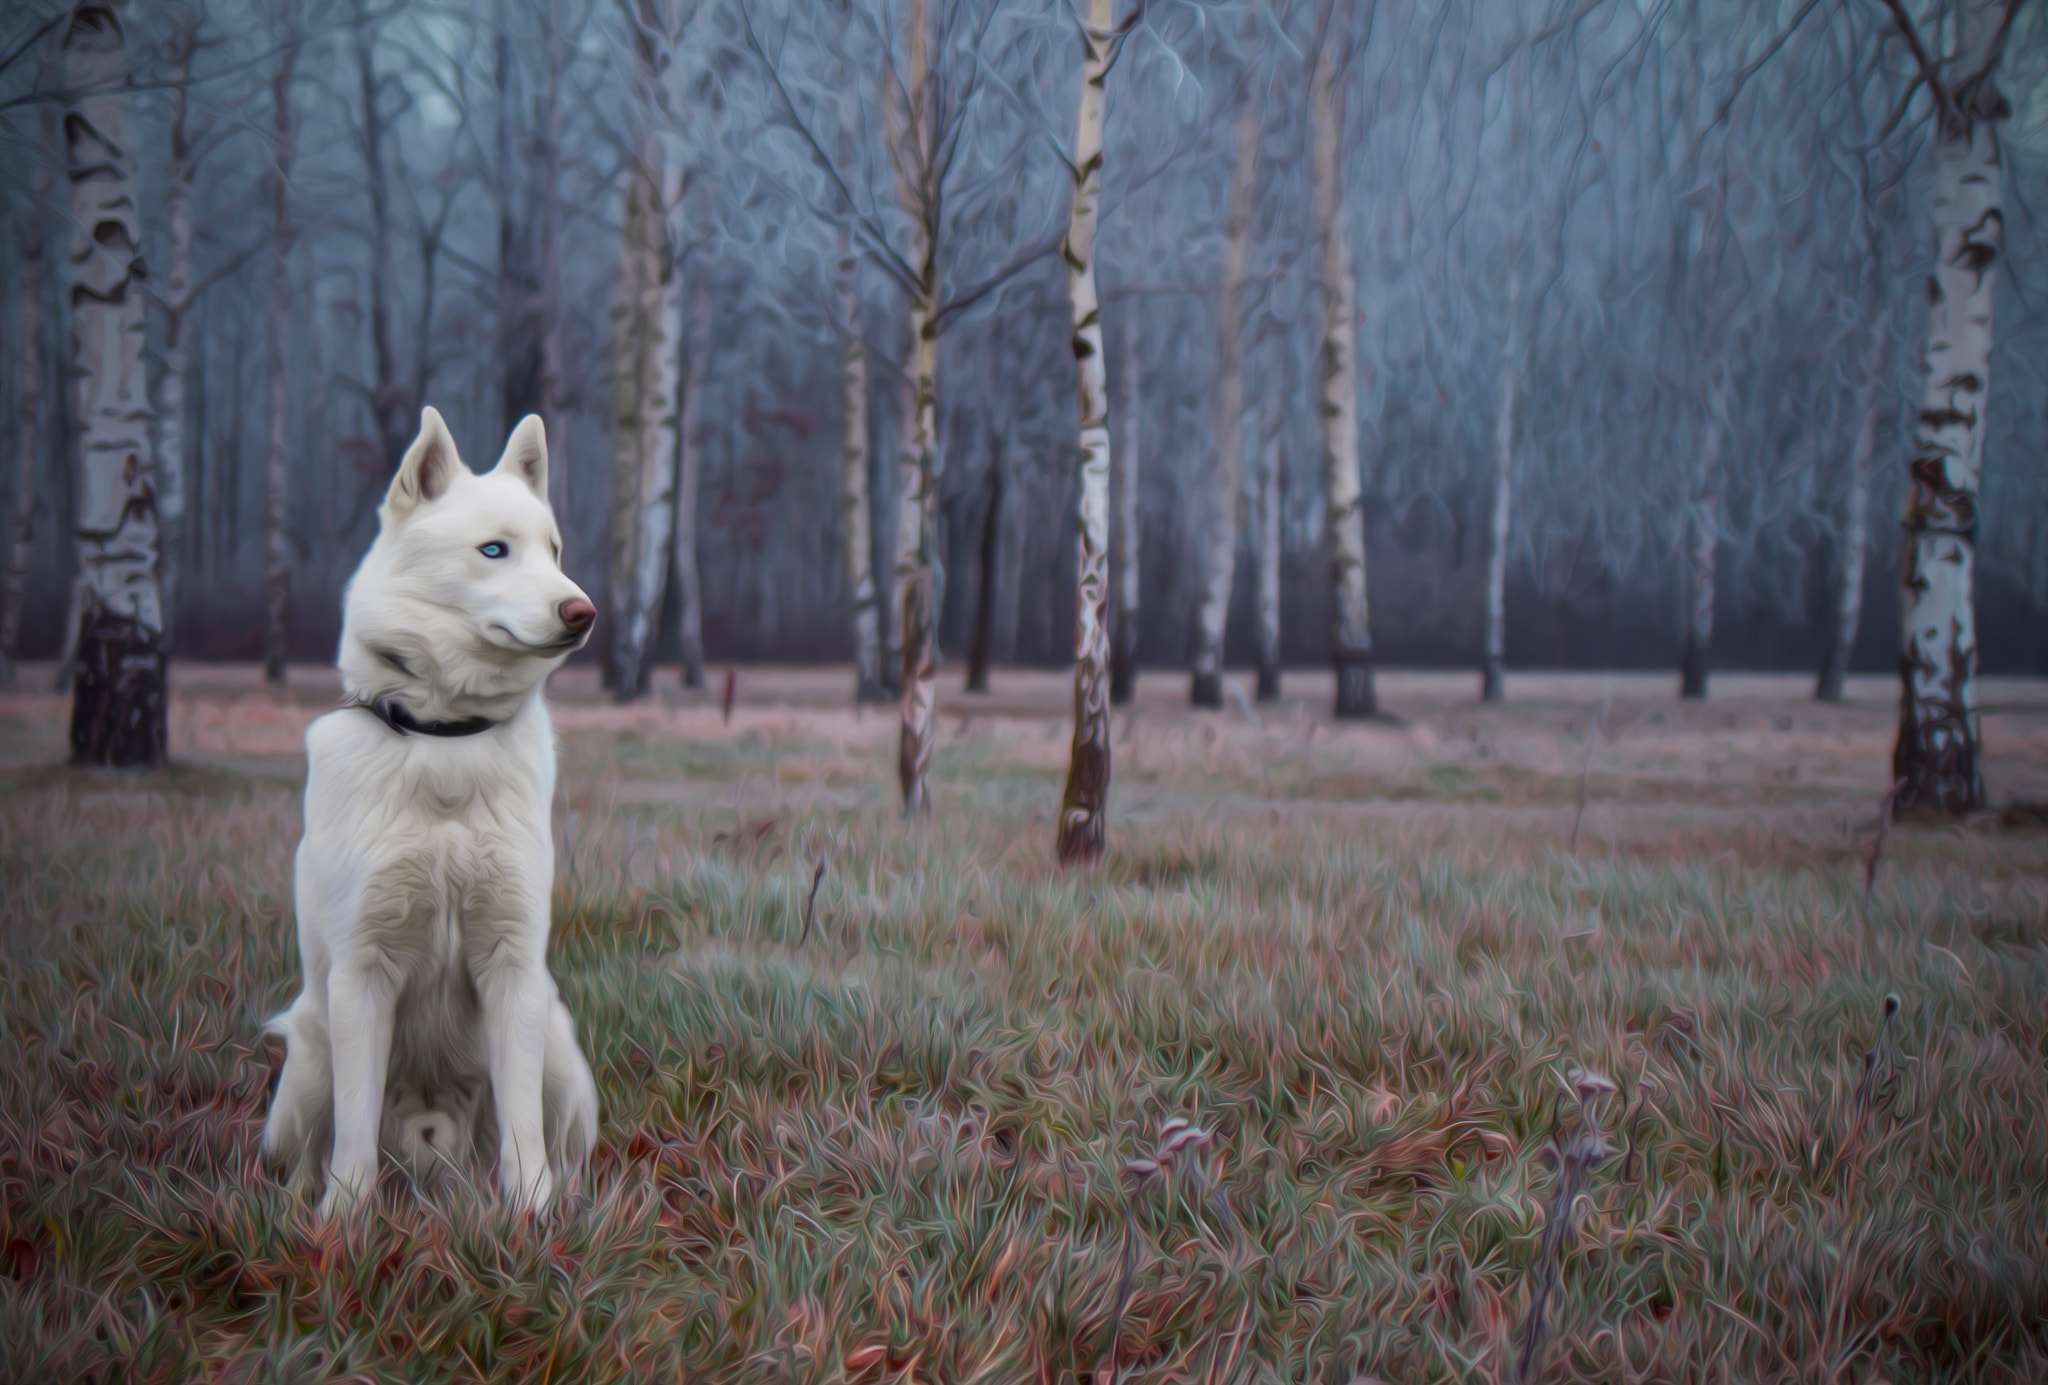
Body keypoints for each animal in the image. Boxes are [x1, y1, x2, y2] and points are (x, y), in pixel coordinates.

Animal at [264, 403, 598, 1212]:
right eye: (494, 550)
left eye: (554, 551)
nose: (583, 611)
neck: (445, 739)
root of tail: (431, 1156)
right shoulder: (361, 976)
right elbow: (352, 1136)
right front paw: (342, 1222)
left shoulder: (513, 967)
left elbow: (524, 1134)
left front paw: (531, 1217)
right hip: (309, 1055)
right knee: (305, 1153)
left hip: (560, 1047)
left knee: (559, 1144)